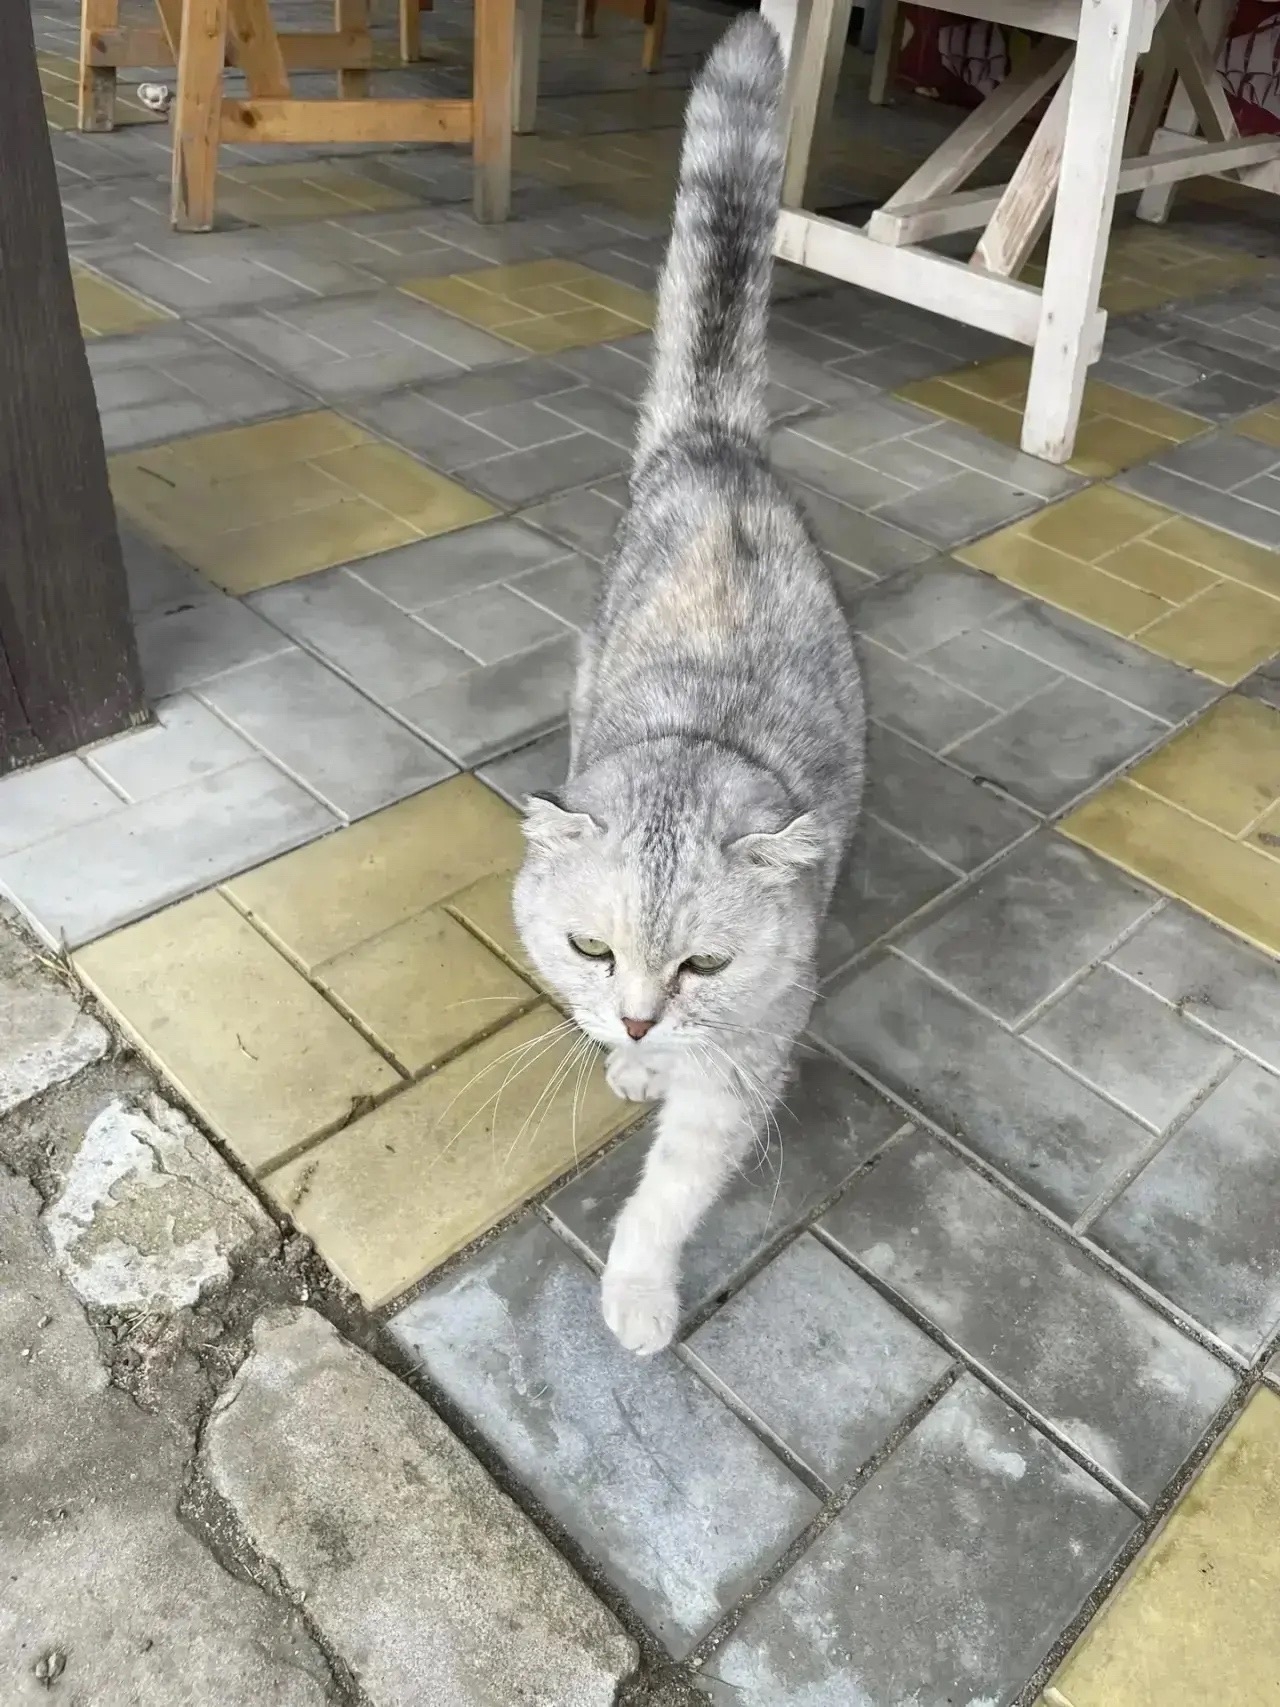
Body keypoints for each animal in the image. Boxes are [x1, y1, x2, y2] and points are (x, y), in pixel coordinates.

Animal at [512, 11, 866, 1355]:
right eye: (589, 944)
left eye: (703, 965)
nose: (636, 1017)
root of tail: (713, 445)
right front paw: (618, 1056)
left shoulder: (745, 1054)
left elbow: (672, 1187)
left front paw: (636, 1289)